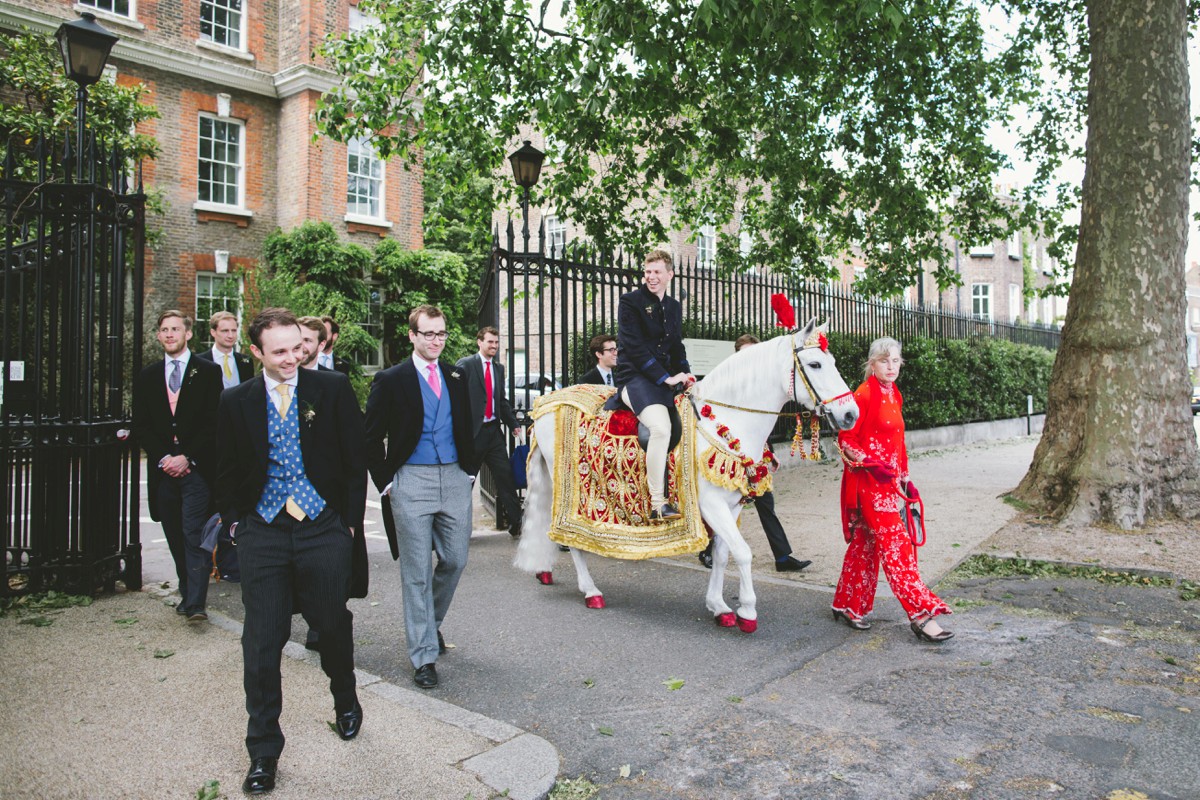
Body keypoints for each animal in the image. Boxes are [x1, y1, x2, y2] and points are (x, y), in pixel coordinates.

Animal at [511, 319, 859, 633]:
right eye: (815, 364)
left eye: (833, 362)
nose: (850, 414)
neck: (722, 420)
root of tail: (545, 403)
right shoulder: (711, 504)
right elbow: (743, 553)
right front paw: (747, 611)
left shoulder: (730, 506)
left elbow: (722, 555)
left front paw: (720, 607)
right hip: (573, 488)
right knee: (570, 538)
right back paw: (590, 590)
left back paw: (547, 571)